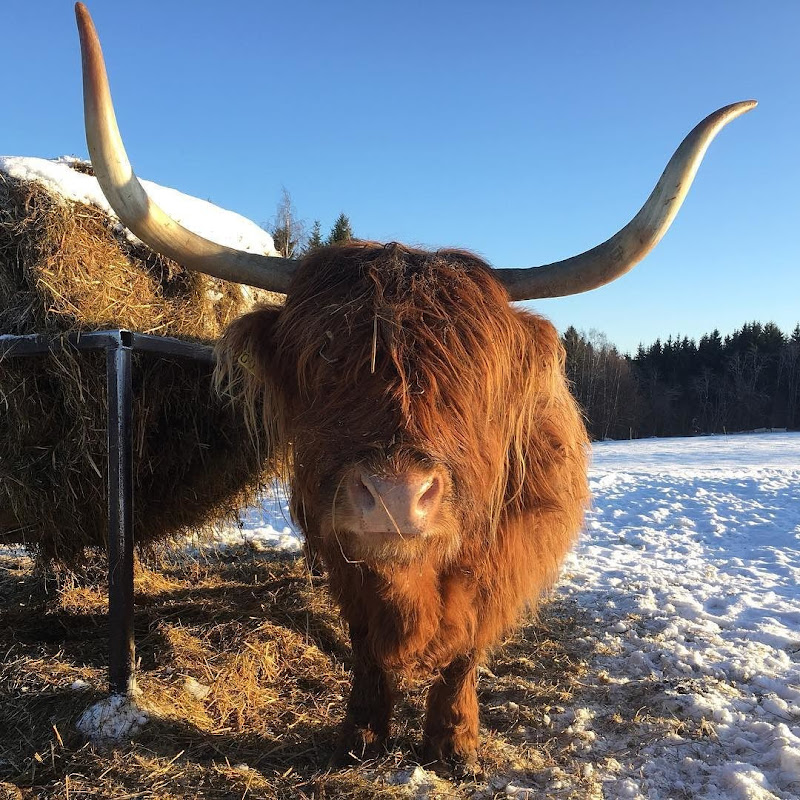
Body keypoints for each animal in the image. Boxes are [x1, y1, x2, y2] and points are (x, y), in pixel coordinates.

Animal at [74, 3, 754, 769]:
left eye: (474, 371)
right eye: (322, 357)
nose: (396, 499)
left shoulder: (502, 554)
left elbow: (465, 650)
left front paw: (454, 741)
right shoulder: (342, 547)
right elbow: (367, 643)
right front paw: (363, 734)